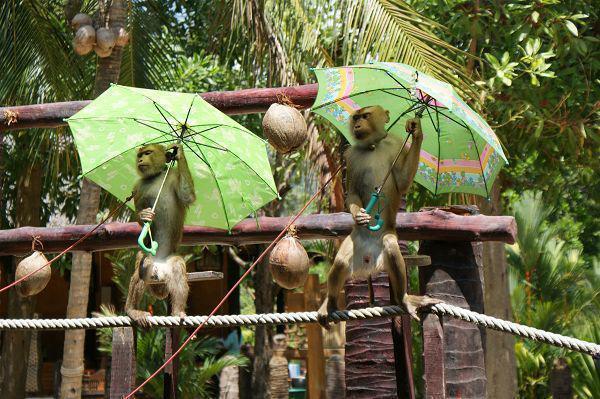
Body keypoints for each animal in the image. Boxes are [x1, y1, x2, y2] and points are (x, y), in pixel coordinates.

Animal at [125, 144, 196, 328]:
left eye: (148, 153)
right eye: (140, 155)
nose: (141, 159)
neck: (156, 176)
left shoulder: (175, 175)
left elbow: (187, 195)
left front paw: (179, 153)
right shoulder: (138, 186)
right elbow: (139, 213)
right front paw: (145, 216)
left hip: (166, 270)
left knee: (177, 266)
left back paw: (177, 312)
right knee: (143, 262)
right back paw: (132, 310)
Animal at [318, 106, 440, 328]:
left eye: (365, 116)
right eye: (356, 117)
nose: (358, 124)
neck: (372, 145)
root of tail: (368, 264)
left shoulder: (396, 144)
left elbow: (402, 181)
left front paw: (416, 130)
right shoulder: (351, 155)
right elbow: (351, 192)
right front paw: (359, 215)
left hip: (385, 244)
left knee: (391, 247)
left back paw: (404, 299)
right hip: (355, 242)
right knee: (340, 262)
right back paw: (329, 304)